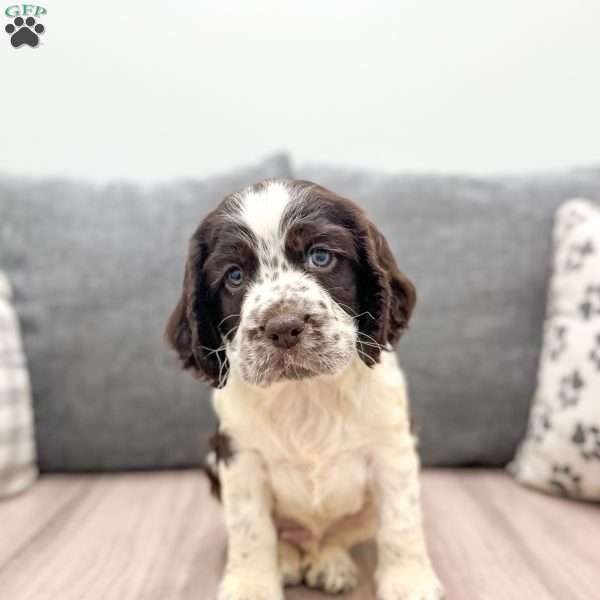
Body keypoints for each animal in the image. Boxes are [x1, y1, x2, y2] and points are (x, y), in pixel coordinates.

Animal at [166, 179, 442, 600]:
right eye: (234, 276)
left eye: (321, 257)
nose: (283, 327)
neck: (306, 391)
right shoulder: (239, 457)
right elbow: (250, 529)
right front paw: (251, 585)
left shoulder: (392, 447)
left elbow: (401, 521)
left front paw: (408, 581)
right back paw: (289, 560)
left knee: (337, 535)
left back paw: (331, 562)